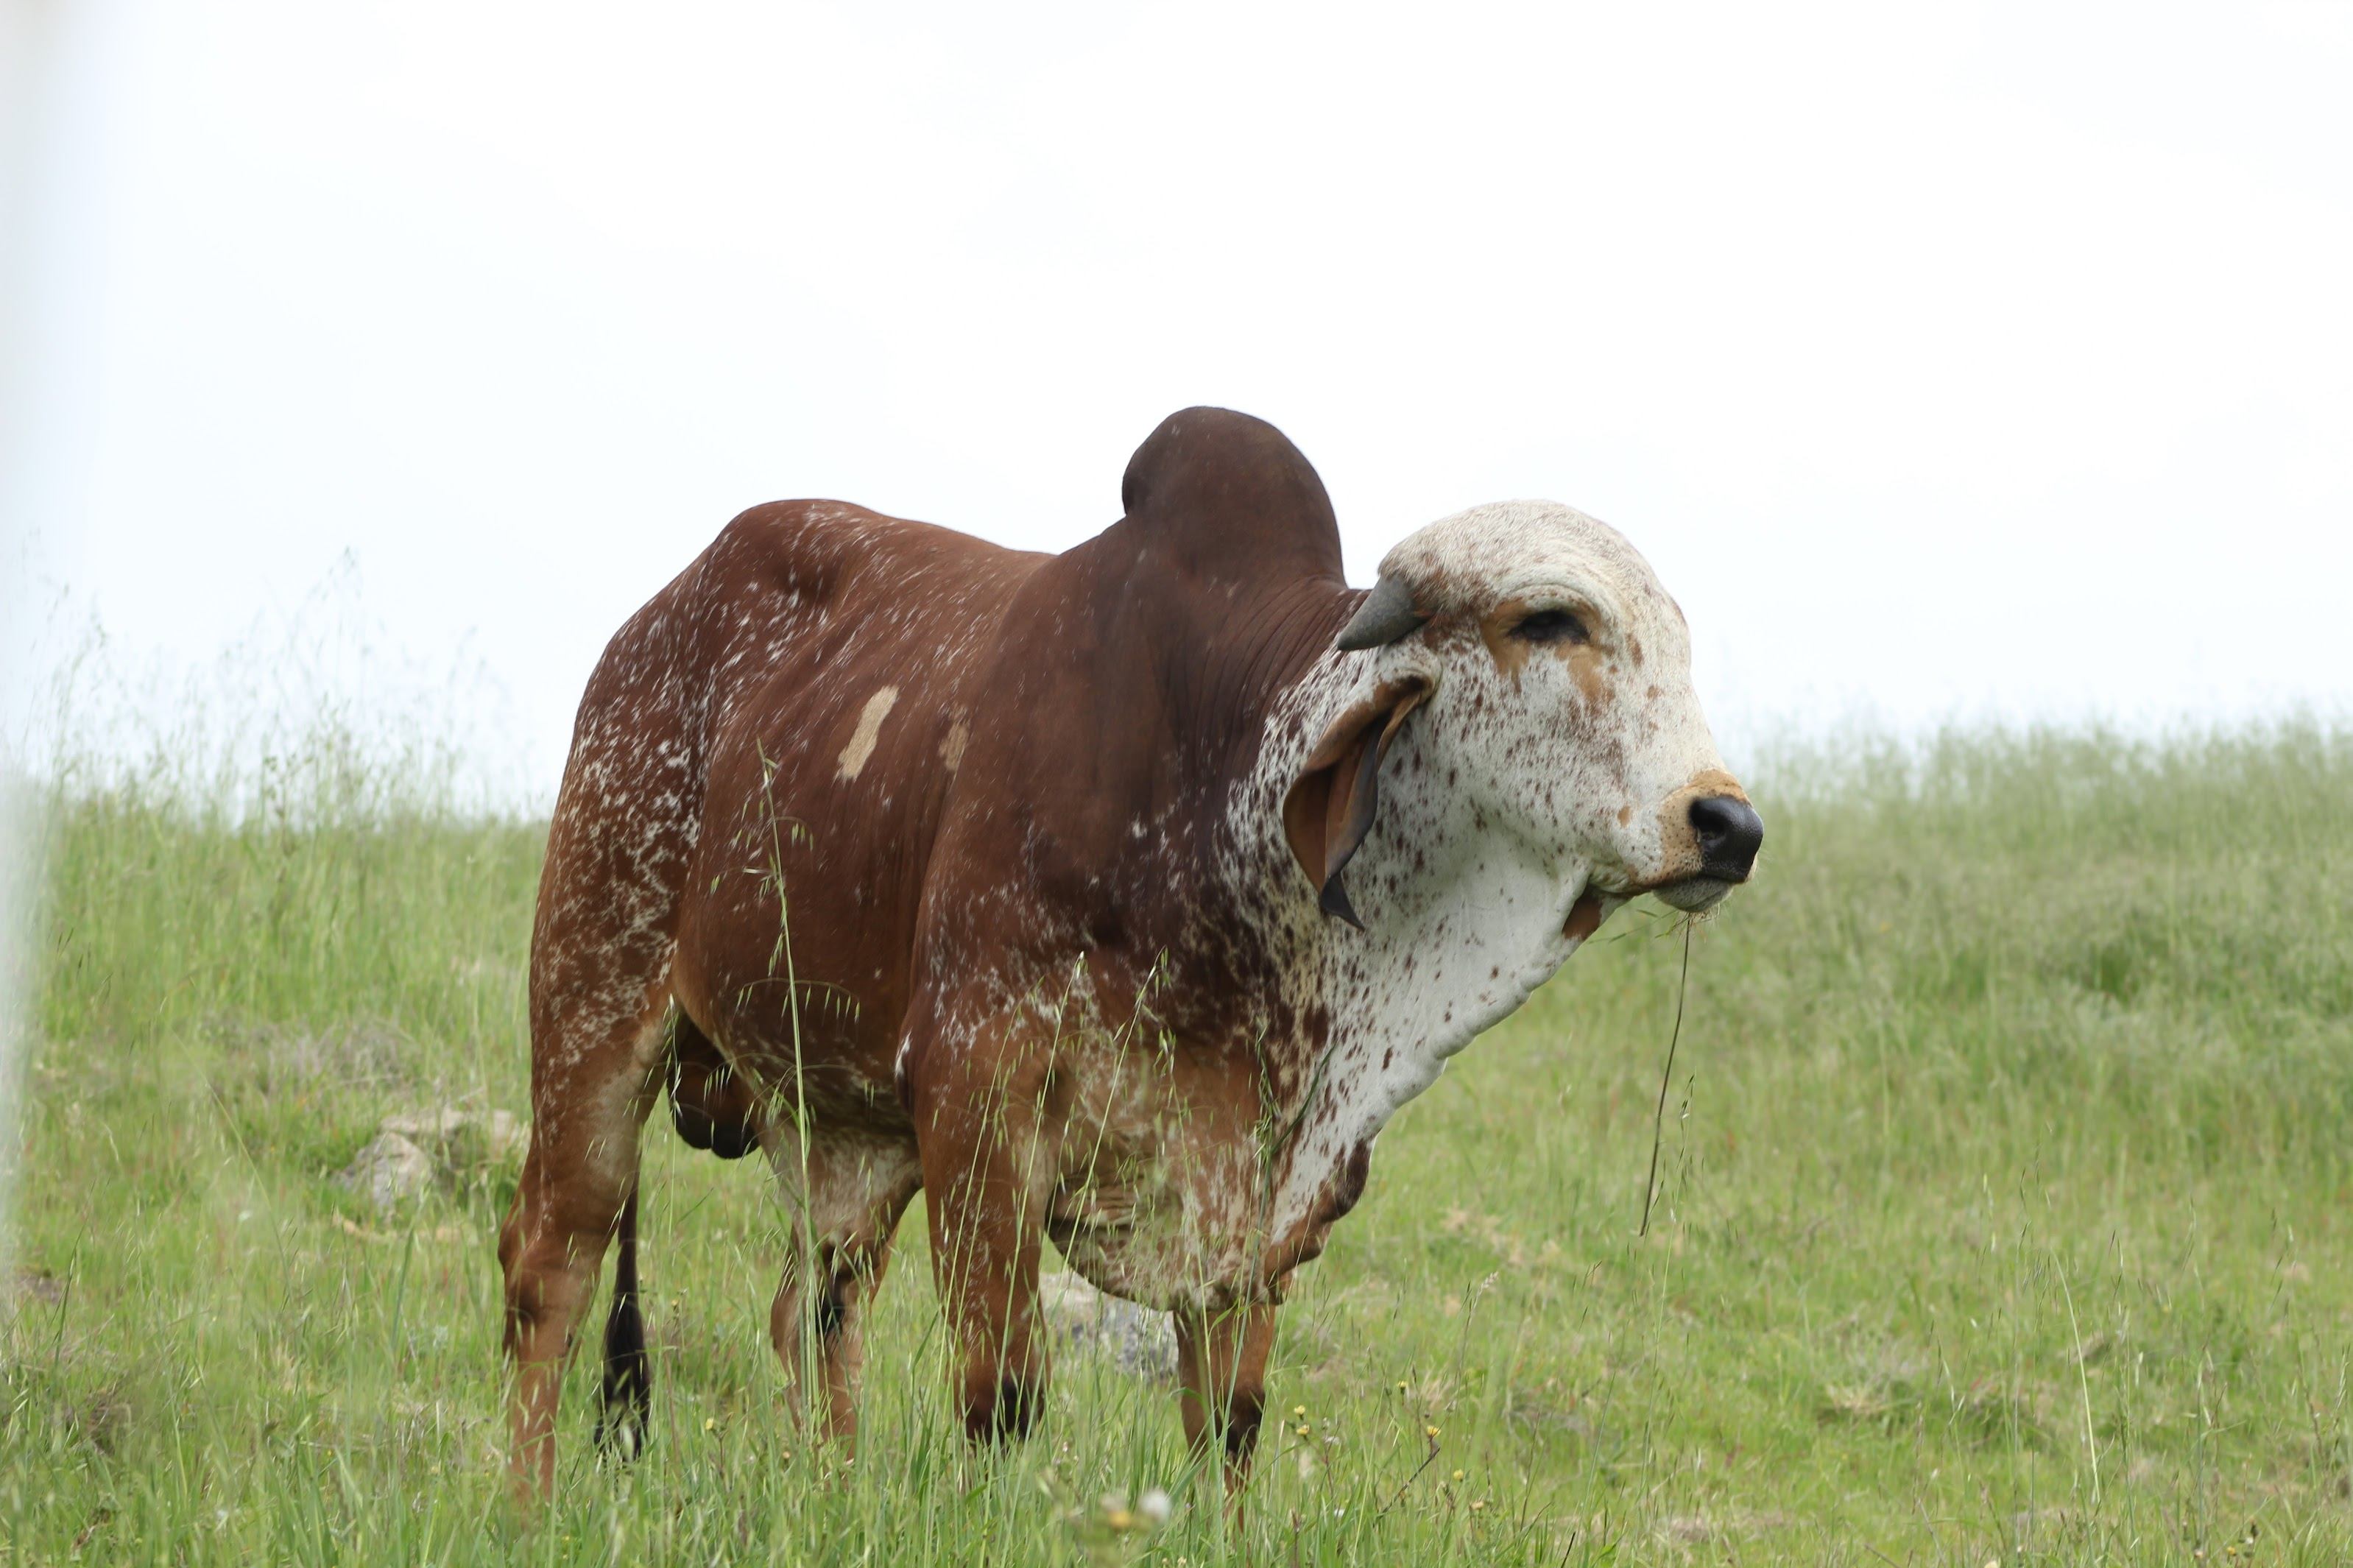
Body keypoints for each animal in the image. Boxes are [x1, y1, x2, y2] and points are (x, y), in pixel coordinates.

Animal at [497, 407, 1762, 1501]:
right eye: (1549, 621)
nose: (1727, 824)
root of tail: (655, 619)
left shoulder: (1261, 1192)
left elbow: (1231, 1426)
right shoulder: (981, 1099)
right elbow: (1002, 1392)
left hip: (841, 1124)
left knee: (814, 1314)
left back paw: (834, 1497)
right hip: (594, 997)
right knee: (550, 1265)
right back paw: (529, 1504)